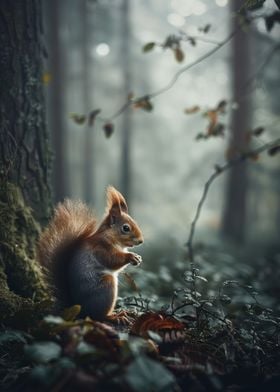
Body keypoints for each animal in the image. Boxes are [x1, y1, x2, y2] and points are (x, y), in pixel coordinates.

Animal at [38, 186, 143, 322]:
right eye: (126, 228)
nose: (141, 241)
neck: (110, 237)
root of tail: (79, 309)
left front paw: (138, 258)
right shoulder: (100, 249)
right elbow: (112, 260)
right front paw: (131, 256)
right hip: (106, 287)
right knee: (98, 316)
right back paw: (115, 316)